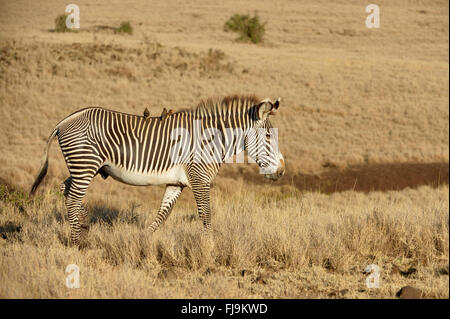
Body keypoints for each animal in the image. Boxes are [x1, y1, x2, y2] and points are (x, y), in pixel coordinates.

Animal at [29, 94, 284, 245]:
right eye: (269, 137)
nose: (282, 171)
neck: (212, 140)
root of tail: (65, 121)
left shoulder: (177, 182)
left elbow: (163, 214)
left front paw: (142, 239)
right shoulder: (199, 178)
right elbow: (206, 214)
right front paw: (209, 247)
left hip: (83, 166)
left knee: (66, 190)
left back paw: (83, 224)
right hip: (85, 164)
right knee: (72, 197)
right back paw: (77, 242)